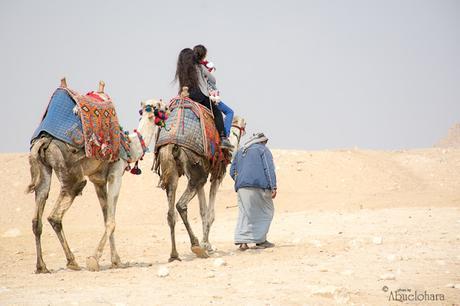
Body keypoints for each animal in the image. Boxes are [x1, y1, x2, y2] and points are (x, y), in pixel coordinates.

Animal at [27, 78, 168, 272]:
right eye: (160, 106)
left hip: (44, 168)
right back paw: (72, 262)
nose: (168, 109)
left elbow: (106, 218)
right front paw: (94, 260)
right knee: (55, 215)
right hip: (70, 173)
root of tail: (45, 139)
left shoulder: (97, 180)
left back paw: (42, 266)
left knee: (37, 217)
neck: (130, 146)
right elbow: (111, 221)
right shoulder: (115, 174)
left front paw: (116, 261)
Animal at [155, 88, 248, 260]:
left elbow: (203, 210)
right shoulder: (216, 174)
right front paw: (207, 245)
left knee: (171, 212)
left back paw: (174, 254)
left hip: (170, 167)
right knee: (180, 205)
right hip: (196, 169)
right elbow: (210, 213)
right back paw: (196, 246)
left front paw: (207, 244)